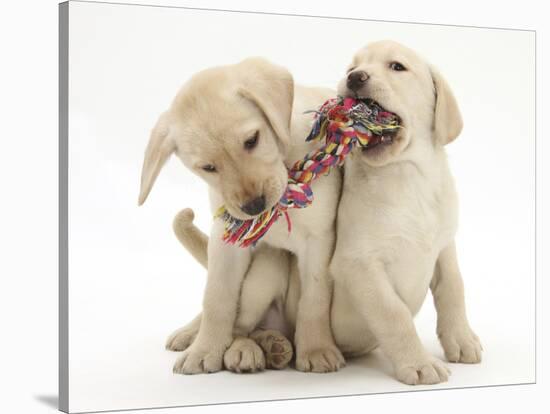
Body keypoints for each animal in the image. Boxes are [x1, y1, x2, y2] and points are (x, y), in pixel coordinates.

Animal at [138, 57, 344, 376]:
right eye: (208, 167)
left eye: (252, 140)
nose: (254, 206)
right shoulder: (226, 244)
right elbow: (217, 298)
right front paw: (205, 349)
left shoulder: (319, 239)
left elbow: (315, 299)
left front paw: (317, 348)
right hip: (265, 269)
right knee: (240, 326)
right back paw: (236, 346)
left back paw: (272, 346)